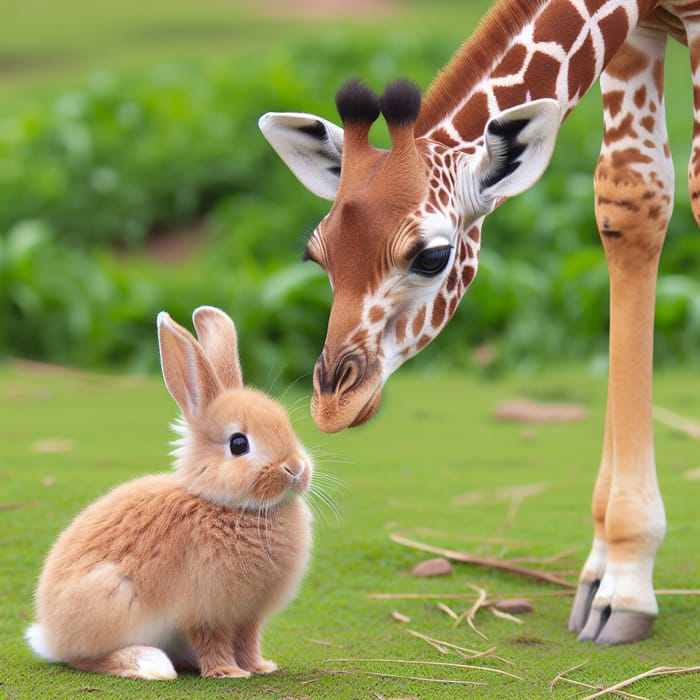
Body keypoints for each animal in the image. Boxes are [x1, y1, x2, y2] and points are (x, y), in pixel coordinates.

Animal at [24, 304, 314, 680]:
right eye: (238, 444)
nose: (296, 469)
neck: (230, 506)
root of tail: (49, 636)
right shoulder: (205, 611)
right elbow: (213, 642)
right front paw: (228, 672)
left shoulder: (248, 615)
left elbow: (248, 640)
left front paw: (260, 667)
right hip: (112, 599)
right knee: (83, 659)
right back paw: (147, 663)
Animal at [260, 0, 696, 644]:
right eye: (317, 256)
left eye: (432, 256)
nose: (333, 404)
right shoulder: (638, 32)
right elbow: (632, 199)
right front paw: (612, 580)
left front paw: (625, 585)